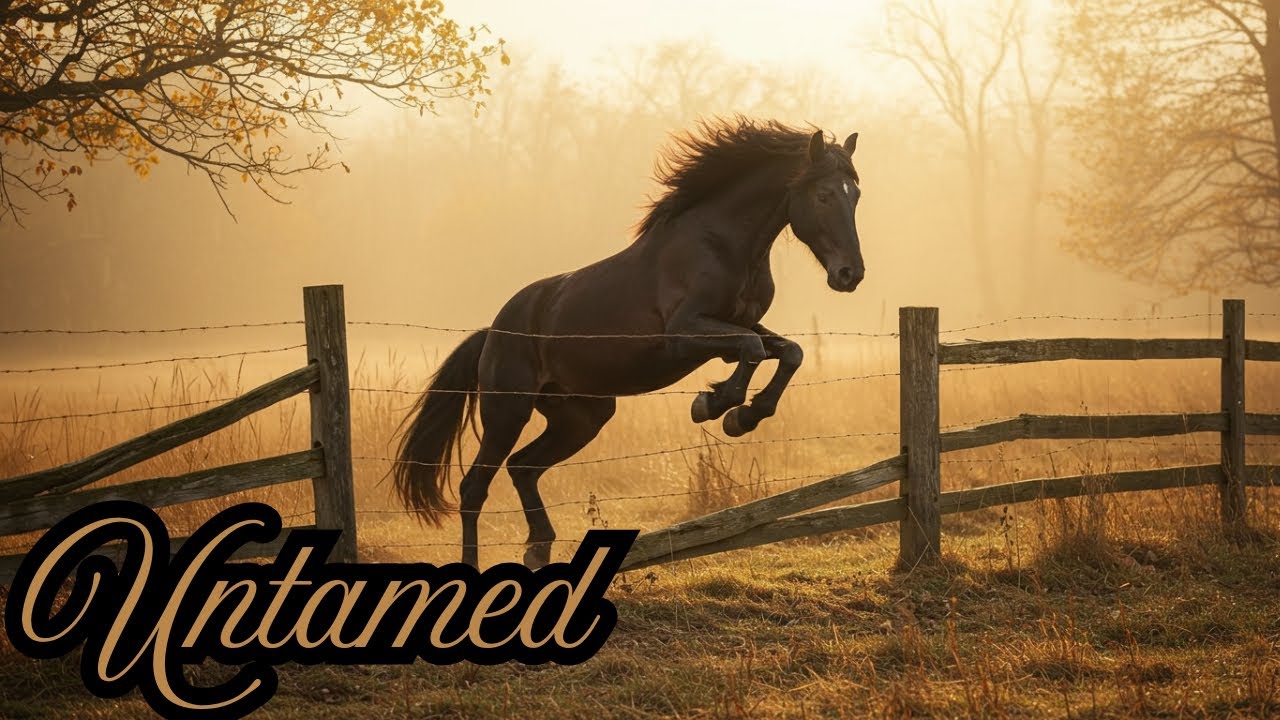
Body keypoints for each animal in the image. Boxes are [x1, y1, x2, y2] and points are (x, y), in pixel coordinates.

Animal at [394, 118, 865, 569]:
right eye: (824, 195)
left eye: (855, 195)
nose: (850, 274)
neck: (721, 246)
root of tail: (492, 332)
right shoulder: (684, 334)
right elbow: (750, 351)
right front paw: (715, 406)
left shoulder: (739, 325)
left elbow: (789, 352)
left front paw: (743, 415)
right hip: (507, 411)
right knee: (475, 486)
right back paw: (477, 563)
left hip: (581, 416)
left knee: (523, 467)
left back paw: (538, 549)